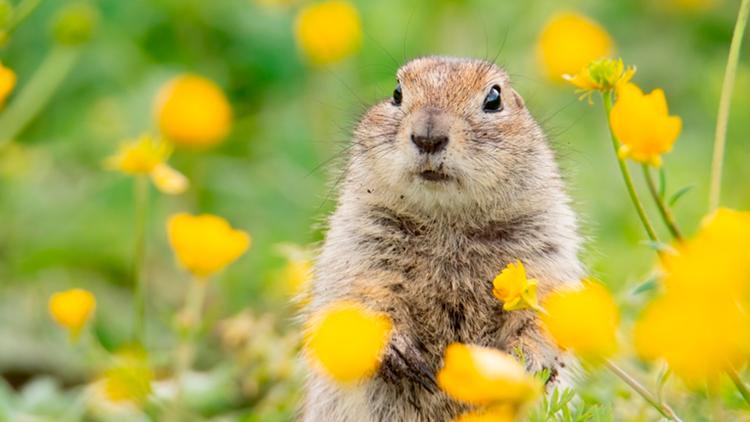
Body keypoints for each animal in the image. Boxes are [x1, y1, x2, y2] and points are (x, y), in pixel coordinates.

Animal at [302, 56, 584, 422]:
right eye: (396, 93)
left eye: (494, 99)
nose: (428, 136)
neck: (447, 224)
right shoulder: (360, 241)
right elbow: (361, 296)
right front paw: (400, 353)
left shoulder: (544, 244)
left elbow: (544, 310)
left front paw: (525, 364)